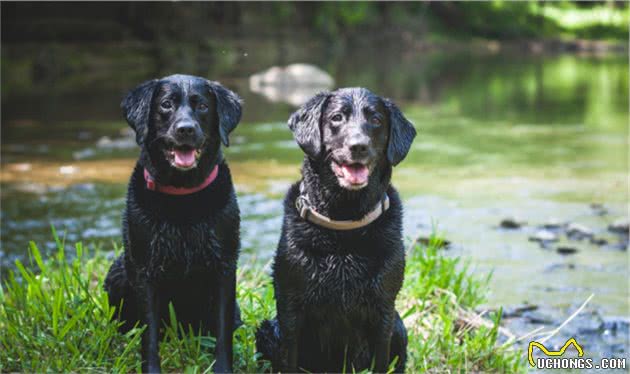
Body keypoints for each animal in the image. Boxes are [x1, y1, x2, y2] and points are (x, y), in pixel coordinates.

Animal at [103, 74, 242, 372]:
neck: (183, 196)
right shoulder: (144, 271)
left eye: (202, 106)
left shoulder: (225, 267)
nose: (185, 129)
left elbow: (223, 332)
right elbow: (149, 335)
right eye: (166, 104)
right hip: (118, 272)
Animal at [256, 89, 420, 372]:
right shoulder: (290, 310)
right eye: (336, 118)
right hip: (268, 331)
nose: (358, 146)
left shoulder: (384, 311)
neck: (344, 224)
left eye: (376, 119)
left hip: (399, 328)